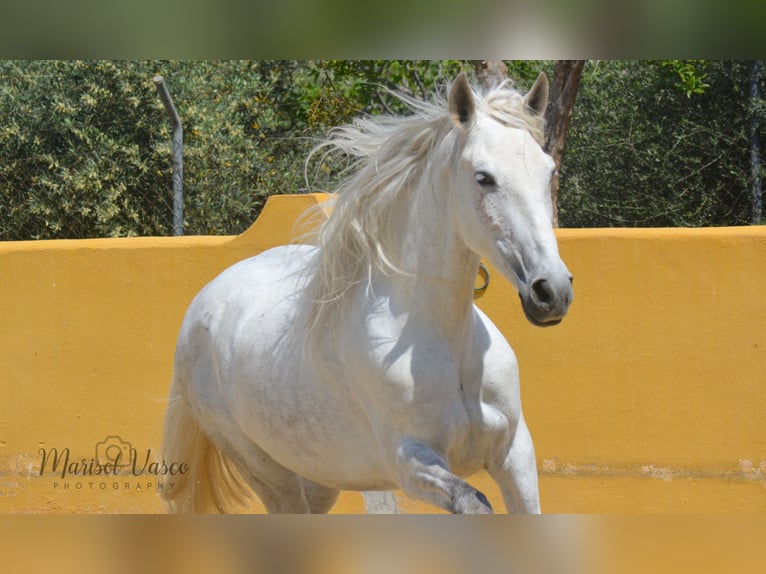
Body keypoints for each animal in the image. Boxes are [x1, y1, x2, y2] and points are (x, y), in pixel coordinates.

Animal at [162, 73, 572, 516]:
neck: (448, 345)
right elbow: (475, 503)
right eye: (484, 177)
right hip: (269, 473)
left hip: (320, 477)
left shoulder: (515, 455)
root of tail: (201, 305)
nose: (552, 291)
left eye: (548, 171)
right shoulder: (411, 464)